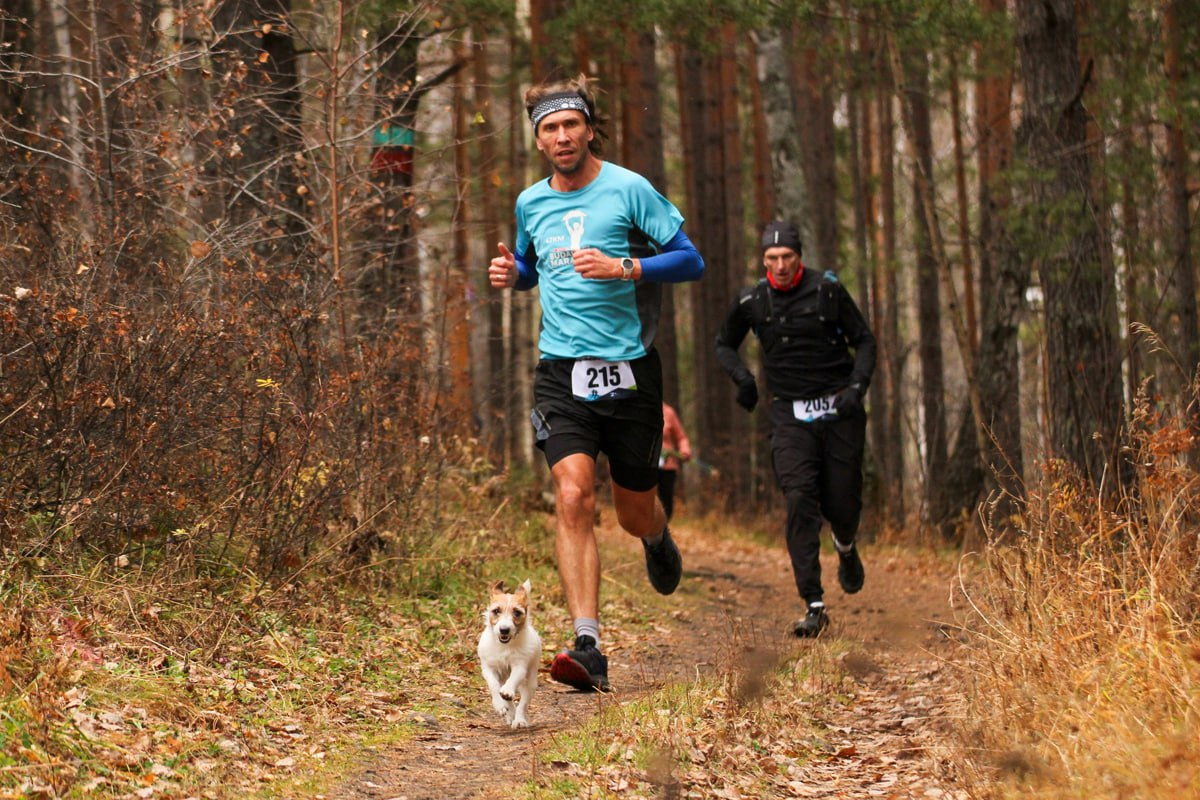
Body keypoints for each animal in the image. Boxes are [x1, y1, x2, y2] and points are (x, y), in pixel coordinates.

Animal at [475, 578, 542, 729]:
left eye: (517, 612)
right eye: (496, 611)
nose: (504, 630)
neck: (505, 646)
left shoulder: (520, 667)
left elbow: (512, 681)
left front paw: (507, 692)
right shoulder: (489, 668)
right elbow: (493, 685)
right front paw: (500, 705)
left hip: (530, 680)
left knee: (523, 702)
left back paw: (519, 719)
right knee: (508, 699)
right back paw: (509, 712)